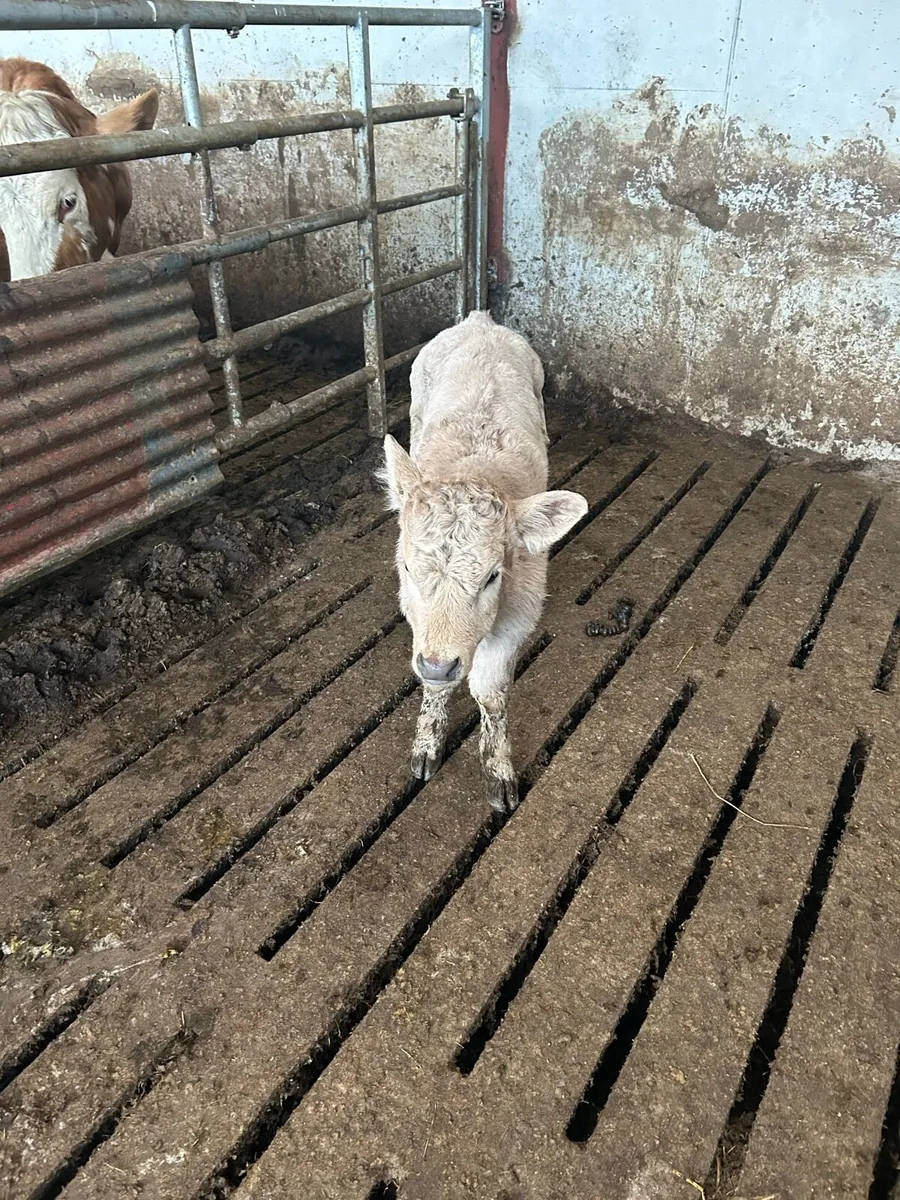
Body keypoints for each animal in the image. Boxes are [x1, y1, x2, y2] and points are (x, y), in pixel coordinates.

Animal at [382, 311, 588, 813]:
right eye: (408, 570)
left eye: (493, 576)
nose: (438, 664)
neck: (473, 469)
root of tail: (480, 319)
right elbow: (437, 684)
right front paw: (427, 740)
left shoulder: (518, 613)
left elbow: (490, 693)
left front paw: (498, 770)